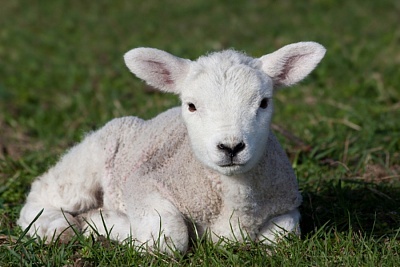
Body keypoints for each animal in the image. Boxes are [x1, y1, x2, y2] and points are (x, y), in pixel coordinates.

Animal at [17, 42, 326, 253]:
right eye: (191, 105)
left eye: (264, 102)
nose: (231, 147)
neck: (231, 196)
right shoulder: (143, 184)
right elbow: (167, 240)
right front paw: (103, 221)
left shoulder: (287, 202)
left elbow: (282, 236)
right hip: (90, 159)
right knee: (44, 192)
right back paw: (56, 228)